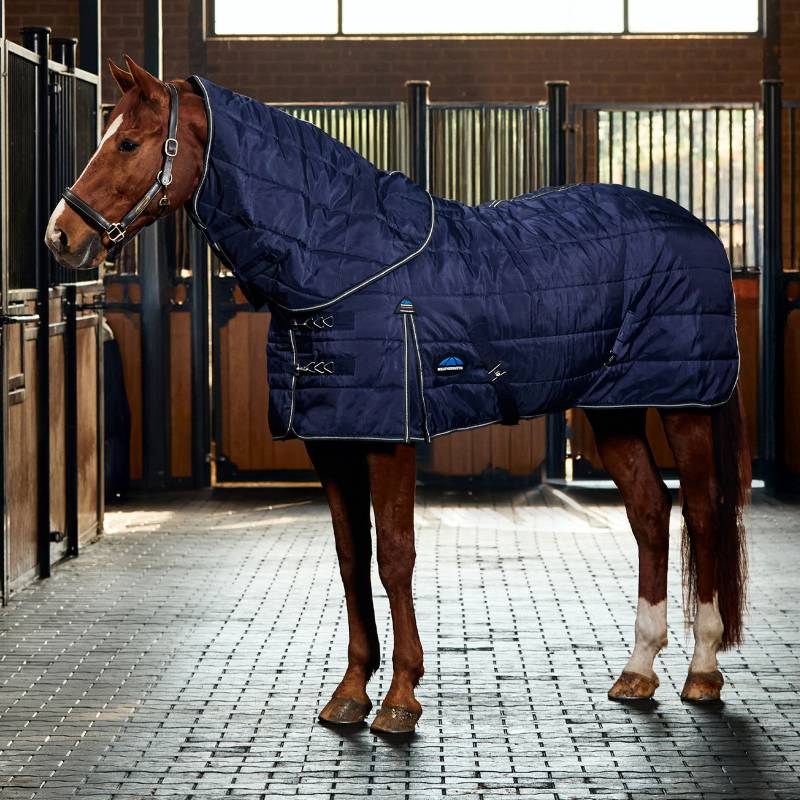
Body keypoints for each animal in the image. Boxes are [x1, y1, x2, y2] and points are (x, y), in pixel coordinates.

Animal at [46, 57, 750, 736]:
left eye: (128, 142)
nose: (60, 236)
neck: (344, 263)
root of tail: (699, 230)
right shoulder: (332, 443)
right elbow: (352, 559)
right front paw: (351, 693)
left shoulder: (390, 438)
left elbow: (395, 558)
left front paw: (401, 699)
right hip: (615, 409)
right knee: (651, 512)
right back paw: (638, 671)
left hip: (685, 406)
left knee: (703, 513)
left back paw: (703, 672)